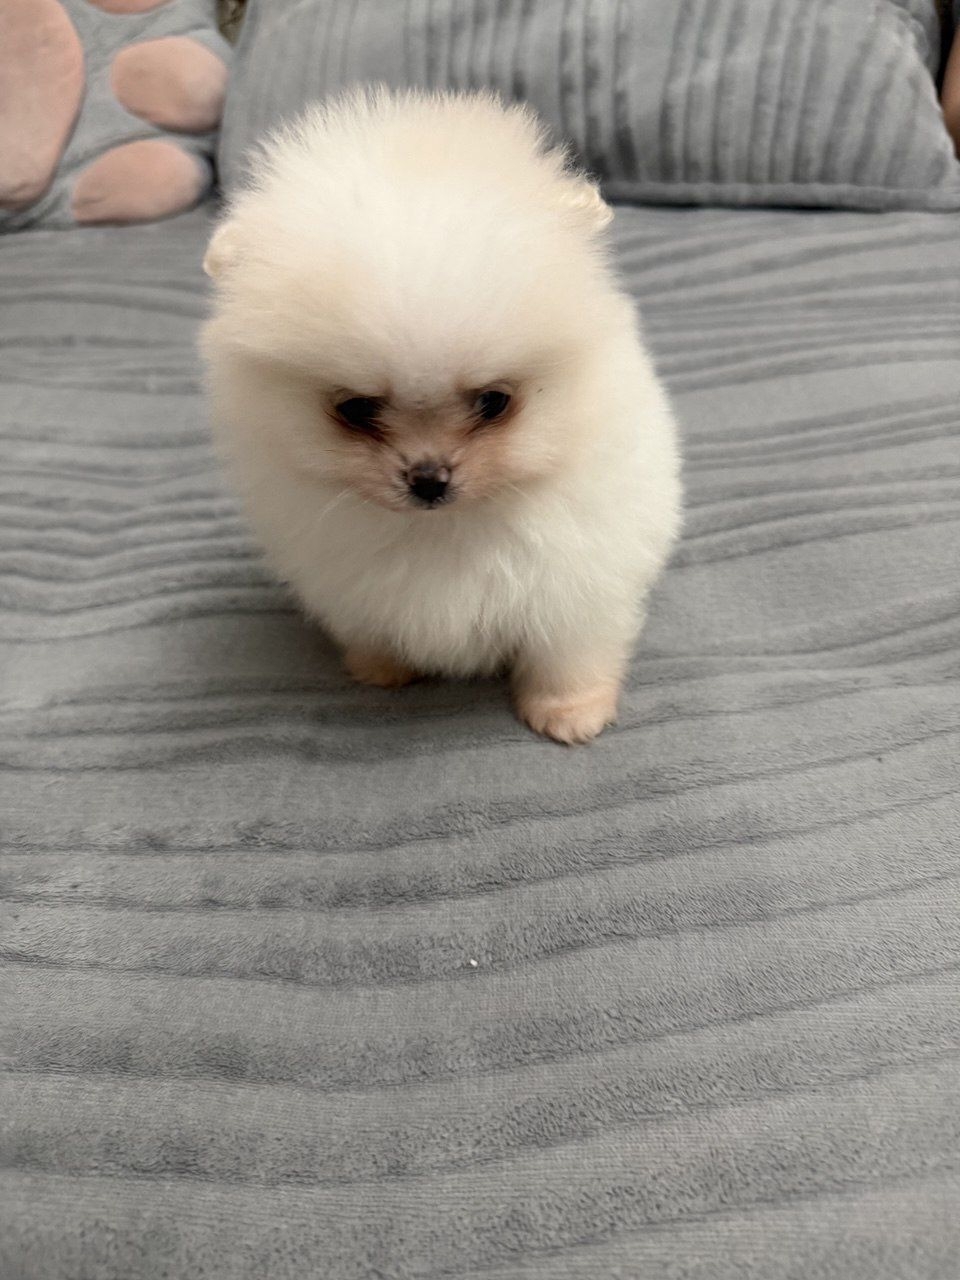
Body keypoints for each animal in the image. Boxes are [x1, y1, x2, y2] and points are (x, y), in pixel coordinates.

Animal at [201, 90, 680, 742]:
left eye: (493, 402)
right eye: (356, 408)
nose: (429, 479)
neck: (444, 531)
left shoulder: (578, 579)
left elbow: (566, 651)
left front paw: (569, 712)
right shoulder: (344, 581)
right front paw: (379, 669)